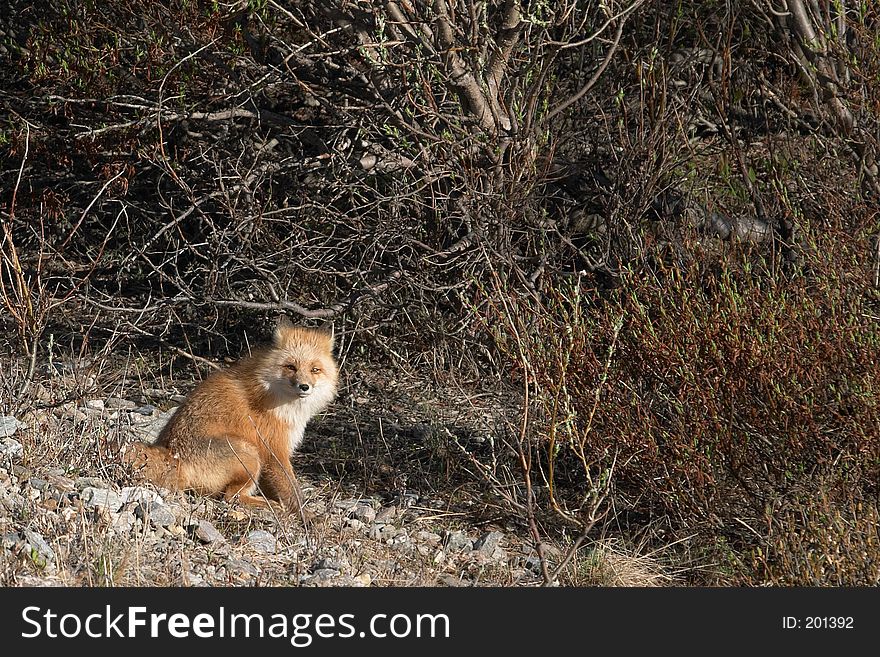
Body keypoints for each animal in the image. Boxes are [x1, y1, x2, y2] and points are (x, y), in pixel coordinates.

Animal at [125, 318, 338, 512]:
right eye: (291, 367)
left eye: (315, 370)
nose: (304, 386)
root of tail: (174, 456)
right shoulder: (273, 450)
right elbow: (293, 492)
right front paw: (308, 517)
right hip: (250, 454)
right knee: (231, 498)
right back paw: (268, 505)